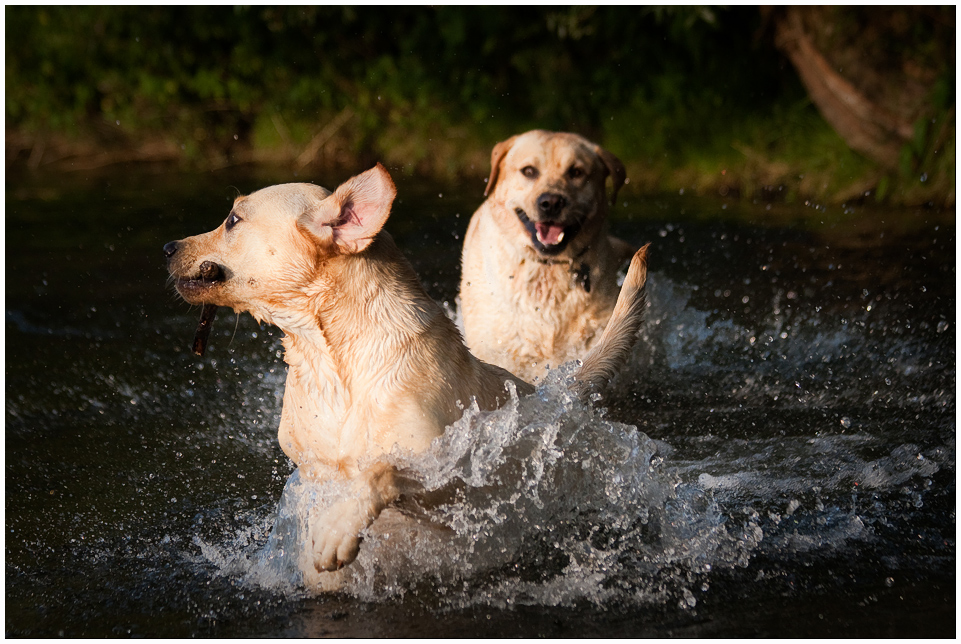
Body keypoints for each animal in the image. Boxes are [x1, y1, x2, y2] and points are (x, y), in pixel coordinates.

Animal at [165, 164, 648, 588]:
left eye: (233, 219)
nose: (168, 247)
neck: (332, 361)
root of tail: (560, 393)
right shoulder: (311, 477)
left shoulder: (461, 486)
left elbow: (384, 470)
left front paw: (339, 528)